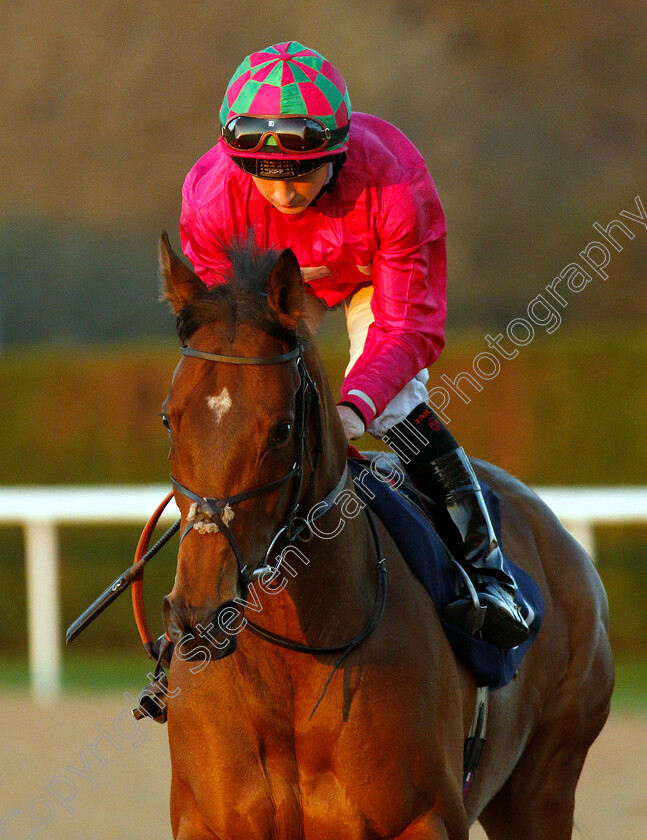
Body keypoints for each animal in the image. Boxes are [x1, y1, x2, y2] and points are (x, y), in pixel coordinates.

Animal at [157, 231, 612, 840]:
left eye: (281, 429)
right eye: (169, 419)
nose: (199, 611)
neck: (294, 663)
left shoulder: (422, 819)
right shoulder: (208, 822)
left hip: (545, 785)